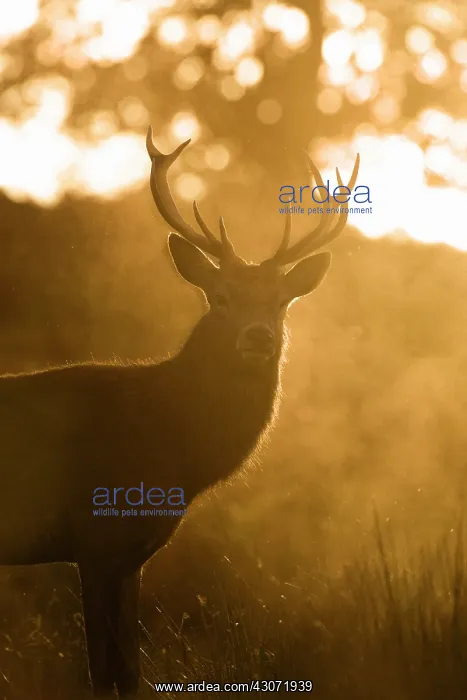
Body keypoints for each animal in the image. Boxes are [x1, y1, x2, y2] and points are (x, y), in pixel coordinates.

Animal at [0, 127, 359, 697]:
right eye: (219, 296)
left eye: (282, 300)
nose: (257, 337)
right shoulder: (95, 538)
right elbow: (102, 674)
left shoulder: (131, 556)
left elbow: (130, 673)